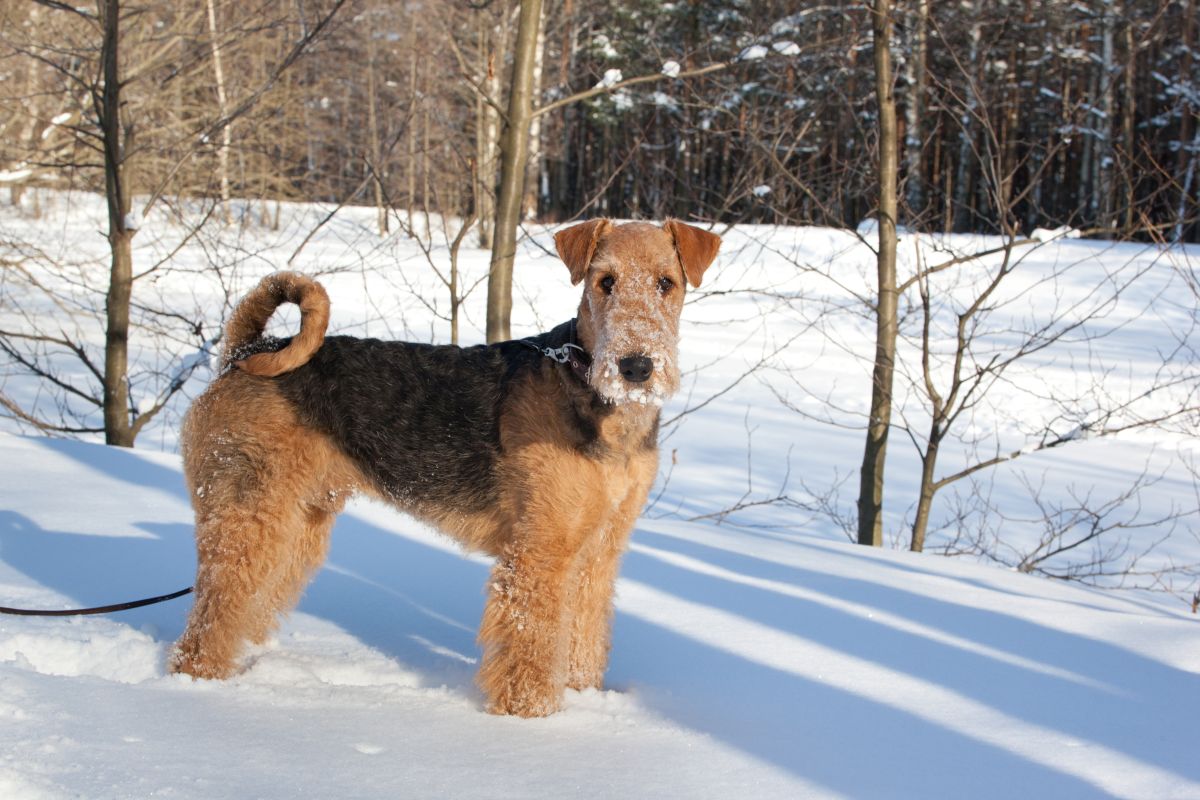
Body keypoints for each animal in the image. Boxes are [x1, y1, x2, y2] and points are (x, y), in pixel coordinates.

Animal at [169, 215, 720, 714]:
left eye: (666, 283)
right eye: (605, 281)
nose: (636, 367)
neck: (595, 396)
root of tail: (246, 350)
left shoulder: (597, 551)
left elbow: (584, 636)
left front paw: (585, 698)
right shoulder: (539, 551)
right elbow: (532, 643)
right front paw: (532, 716)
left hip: (298, 524)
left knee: (246, 605)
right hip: (250, 515)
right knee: (210, 616)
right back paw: (200, 684)